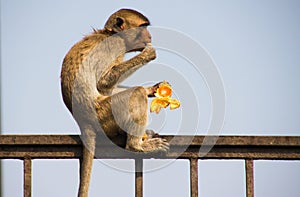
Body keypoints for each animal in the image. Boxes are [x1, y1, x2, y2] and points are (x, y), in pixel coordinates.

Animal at [60, 8, 169, 196]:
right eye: (143, 27)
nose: (150, 36)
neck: (109, 34)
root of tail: (83, 121)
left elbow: (107, 88)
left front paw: (151, 90)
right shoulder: (115, 46)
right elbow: (103, 83)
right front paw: (147, 55)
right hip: (104, 114)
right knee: (135, 94)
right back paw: (136, 146)